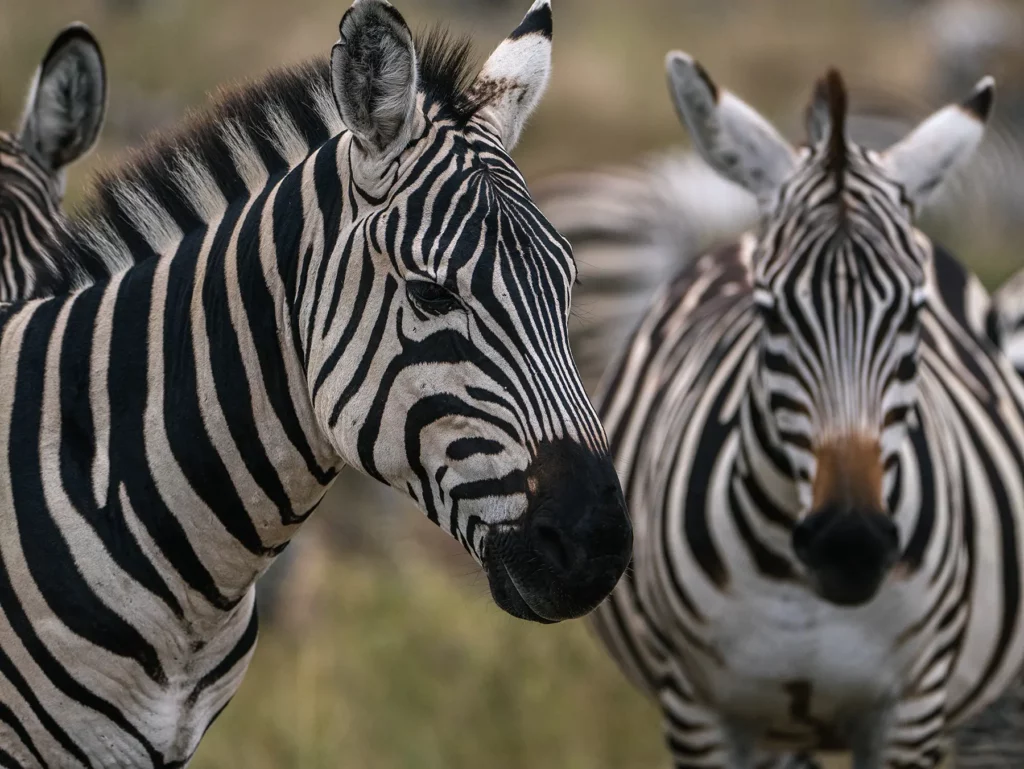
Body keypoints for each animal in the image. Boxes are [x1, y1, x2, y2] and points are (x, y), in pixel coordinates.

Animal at [589, 52, 1024, 769]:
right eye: (770, 314)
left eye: (914, 314)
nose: (851, 543)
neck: (798, 583)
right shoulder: (700, 710)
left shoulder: (909, 711)